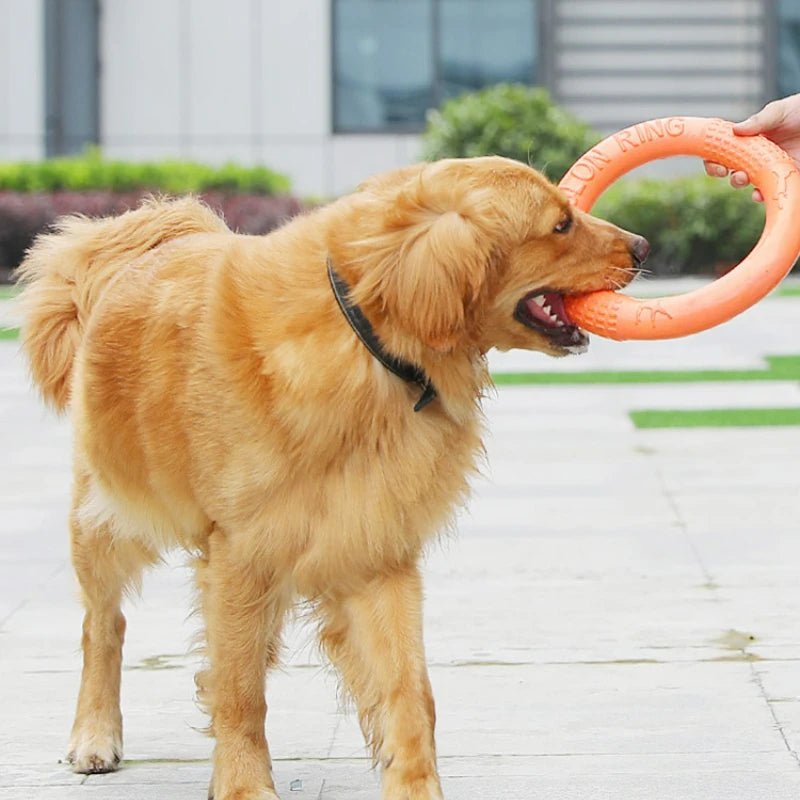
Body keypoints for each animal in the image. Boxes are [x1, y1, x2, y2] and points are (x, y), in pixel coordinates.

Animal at [15, 158, 648, 800]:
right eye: (561, 224)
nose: (644, 247)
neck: (367, 336)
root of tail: (152, 234)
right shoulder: (241, 551)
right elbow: (241, 693)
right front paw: (244, 784)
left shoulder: (375, 549)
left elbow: (409, 692)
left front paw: (415, 785)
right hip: (109, 516)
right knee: (104, 624)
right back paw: (95, 734)